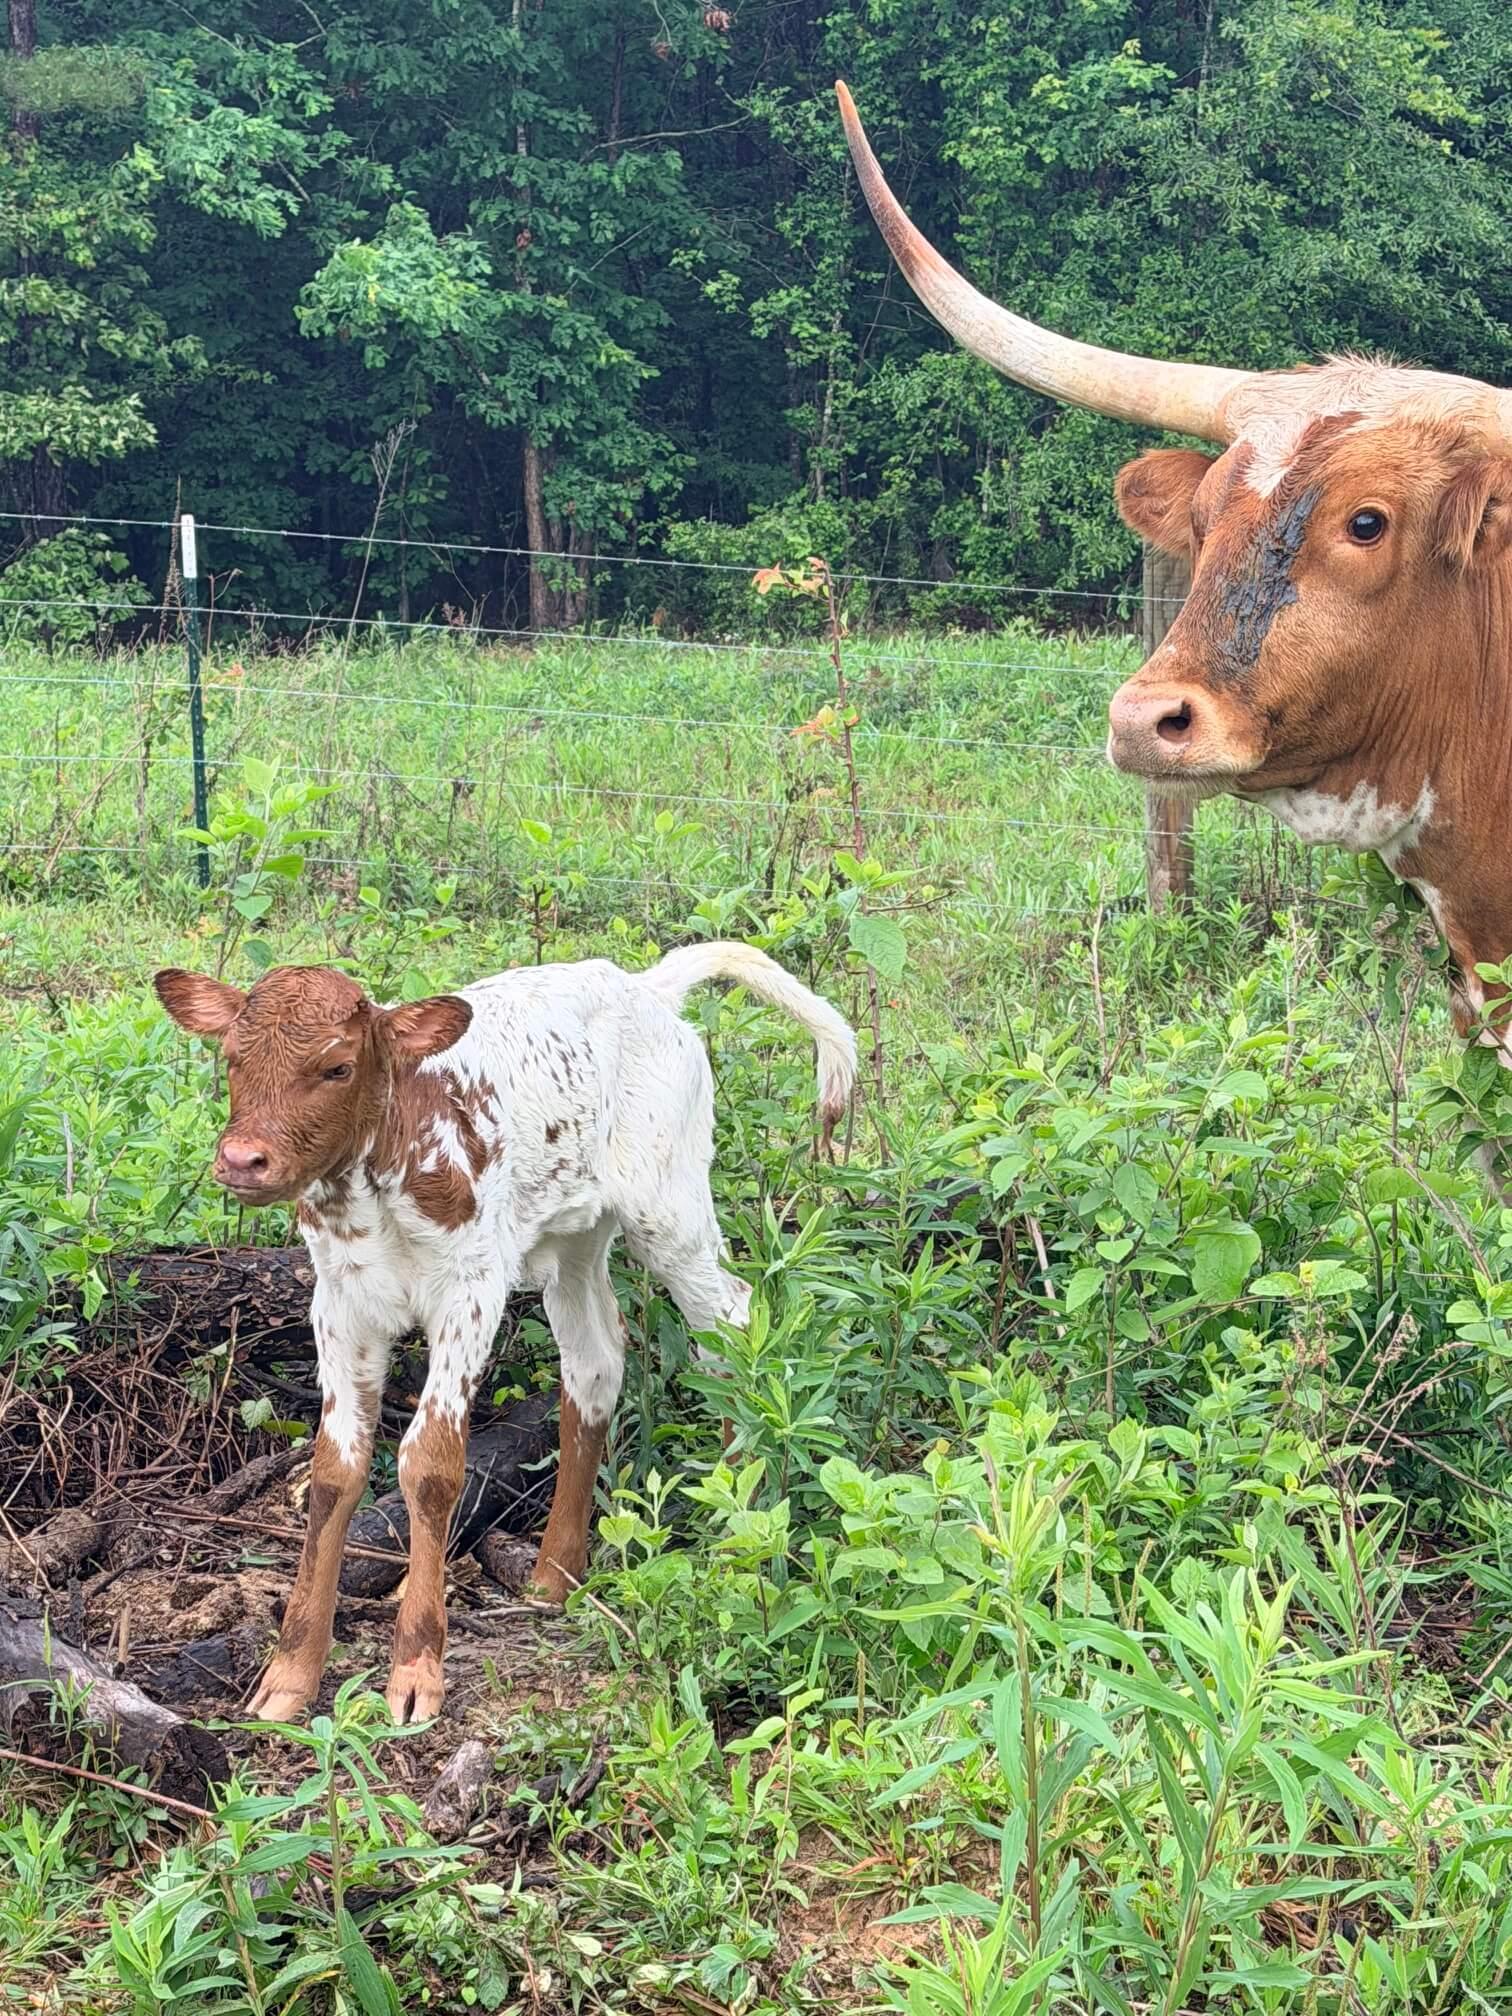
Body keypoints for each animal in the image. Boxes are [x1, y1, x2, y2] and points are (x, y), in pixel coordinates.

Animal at [155, 945, 856, 1723]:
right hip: (574, 1233)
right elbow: (336, 1469)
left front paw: (417, 1668)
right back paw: (555, 1572)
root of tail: (644, 984)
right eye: (231, 1058)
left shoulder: (471, 1287)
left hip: (667, 1207)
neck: (380, 1180)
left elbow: (431, 1463)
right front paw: (290, 1672)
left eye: (337, 1067)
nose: (242, 1159)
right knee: (595, 1361)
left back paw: (735, 1525)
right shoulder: (338, 1301)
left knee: (728, 1326)